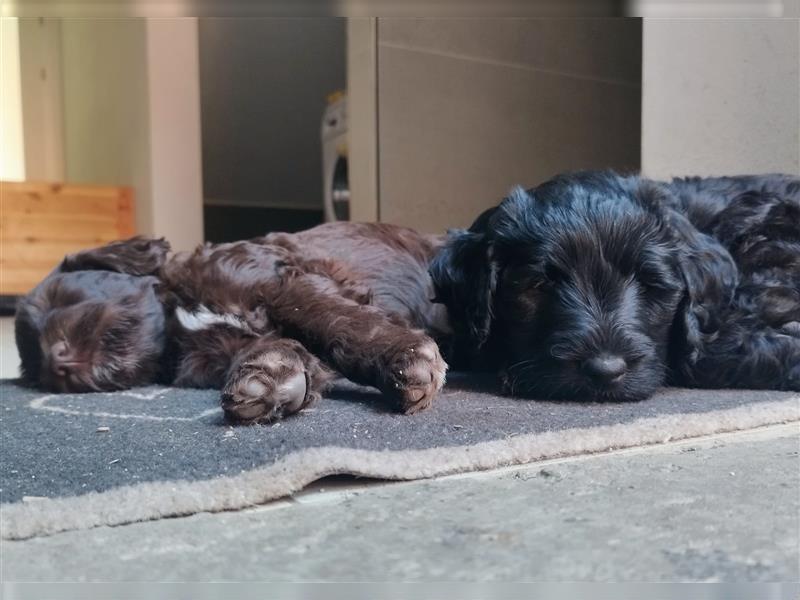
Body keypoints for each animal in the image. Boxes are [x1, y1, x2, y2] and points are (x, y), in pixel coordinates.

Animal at [15, 223, 450, 424]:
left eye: (61, 298)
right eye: (35, 368)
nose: (56, 364)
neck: (179, 318)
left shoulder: (280, 282)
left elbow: (332, 319)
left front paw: (406, 358)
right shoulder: (216, 352)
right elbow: (271, 348)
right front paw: (268, 377)